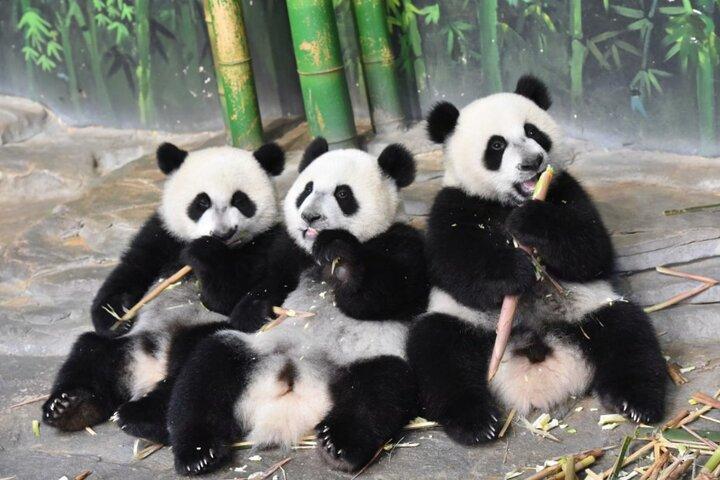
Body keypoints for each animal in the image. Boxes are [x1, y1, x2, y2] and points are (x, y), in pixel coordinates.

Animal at [41, 141, 286, 443]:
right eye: (201, 202)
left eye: (241, 201)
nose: (222, 233)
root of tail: (151, 366)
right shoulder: (161, 234)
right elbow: (131, 270)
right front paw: (118, 313)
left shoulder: (264, 243)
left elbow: (230, 295)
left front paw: (204, 254)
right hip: (124, 346)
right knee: (90, 353)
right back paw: (70, 406)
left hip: (198, 335)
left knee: (191, 372)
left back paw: (141, 416)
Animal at [166, 138, 429, 475]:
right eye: (307, 188)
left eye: (343, 194)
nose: (309, 217)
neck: (313, 255)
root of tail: (296, 381)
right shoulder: (286, 250)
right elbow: (240, 295)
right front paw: (209, 257)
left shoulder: (403, 244)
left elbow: (379, 296)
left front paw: (340, 259)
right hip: (255, 351)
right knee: (207, 371)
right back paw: (197, 453)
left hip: (369, 358)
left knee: (379, 392)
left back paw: (337, 446)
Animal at [406, 75, 667, 445]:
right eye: (496, 145)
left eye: (533, 131)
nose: (532, 161)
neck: (507, 203)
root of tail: (536, 345)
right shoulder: (453, 205)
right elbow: (453, 264)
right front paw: (516, 270)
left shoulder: (566, 187)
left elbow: (591, 248)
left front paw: (532, 223)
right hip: (468, 324)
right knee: (438, 351)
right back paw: (476, 422)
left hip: (588, 309)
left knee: (628, 334)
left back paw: (637, 402)